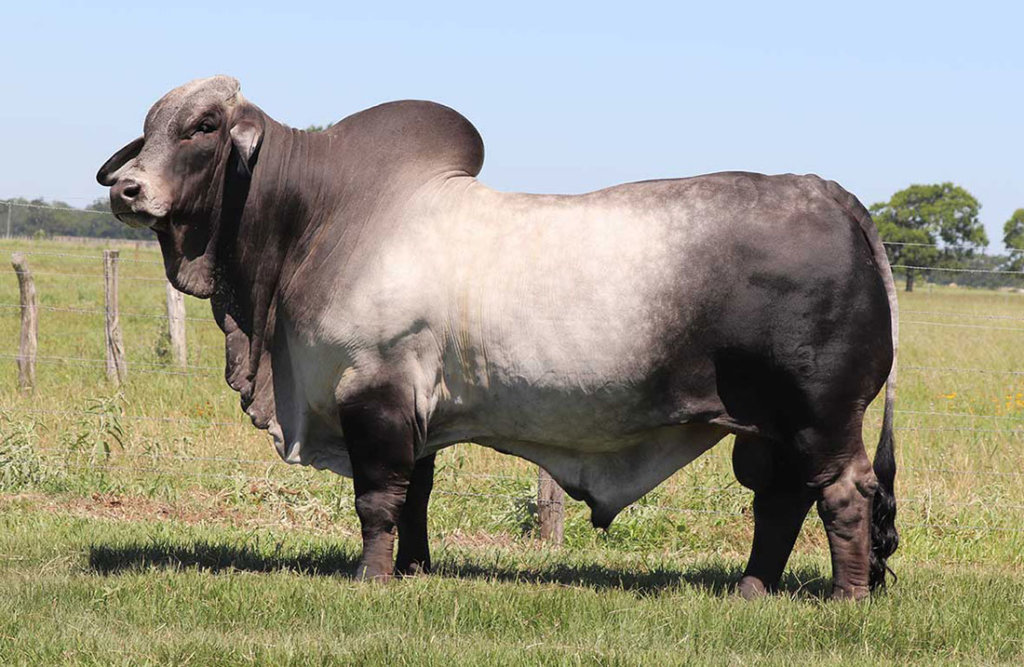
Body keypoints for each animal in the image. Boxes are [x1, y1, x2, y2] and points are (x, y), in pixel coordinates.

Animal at [97, 76, 898, 600]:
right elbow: (415, 494)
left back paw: (846, 599)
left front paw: (370, 579)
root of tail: (835, 195)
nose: (127, 189)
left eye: (203, 128)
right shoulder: (413, 406)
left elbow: (378, 499)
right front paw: (414, 570)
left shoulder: (373, 391)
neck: (315, 221)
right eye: (152, 125)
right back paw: (752, 590)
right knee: (781, 501)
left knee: (844, 495)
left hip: (822, 416)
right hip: (770, 427)